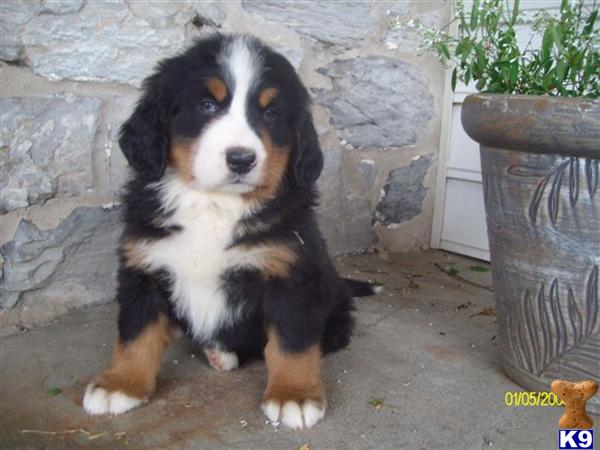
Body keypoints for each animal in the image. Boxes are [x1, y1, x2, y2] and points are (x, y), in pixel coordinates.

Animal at [82, 34, 378, 428]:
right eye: (207, 104)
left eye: (270, 113)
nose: (241, 159)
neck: (213, 204)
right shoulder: (143, 266)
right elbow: (135, 333)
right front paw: (120, 384)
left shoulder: (290, 275)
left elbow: (292, 342)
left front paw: (294, 394)